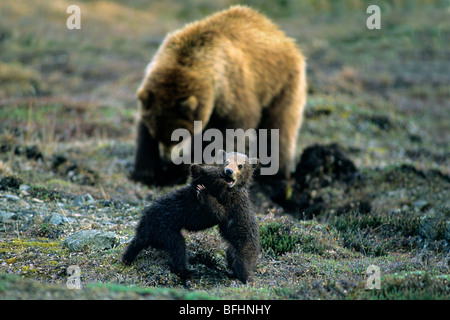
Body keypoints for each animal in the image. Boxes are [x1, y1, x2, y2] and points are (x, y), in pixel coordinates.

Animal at [122, 152, 260, 282]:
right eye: (221, 172)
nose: (228, 172)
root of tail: (143, 230)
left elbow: (222, 213)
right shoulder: (200, 207)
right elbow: (219, 213)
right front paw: (203, 192)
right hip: (164, 232)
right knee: (178, 247)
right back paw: (189, 271)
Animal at [130, 4, 306, 185]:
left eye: (178, 137)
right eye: (157, 134)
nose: (166, 159)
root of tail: (281, 34)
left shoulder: (232, 88)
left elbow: (227, 130)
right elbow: (143, 132)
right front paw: (145, 172)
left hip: (281, 82)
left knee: (280, 126)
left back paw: (275, 175)